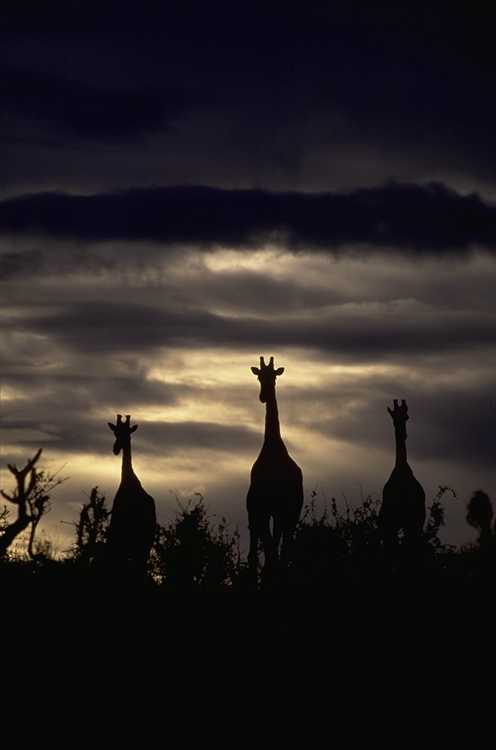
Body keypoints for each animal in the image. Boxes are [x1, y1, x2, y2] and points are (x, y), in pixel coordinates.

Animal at [247, 356, 304, 578]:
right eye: (259, 377)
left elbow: (274, 547)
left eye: (274, 377)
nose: (263, 397)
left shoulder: (278, 509)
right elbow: (269, 546)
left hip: (286, 512)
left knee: (280, 545)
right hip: (270, 511)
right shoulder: (264, 507)